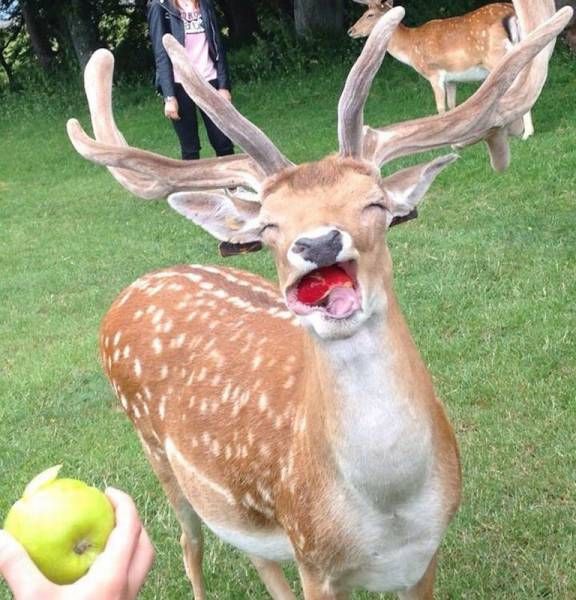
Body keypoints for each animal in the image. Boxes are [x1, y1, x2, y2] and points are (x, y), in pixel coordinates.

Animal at [346, 0, 540, 138]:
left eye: (370, 14)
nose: (350, 30)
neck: (410, 49)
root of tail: (513, 14)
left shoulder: (434, 73)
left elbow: (440, 107)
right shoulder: (451, 79)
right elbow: (453, 106)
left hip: (497, 57)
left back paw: (526, 133)